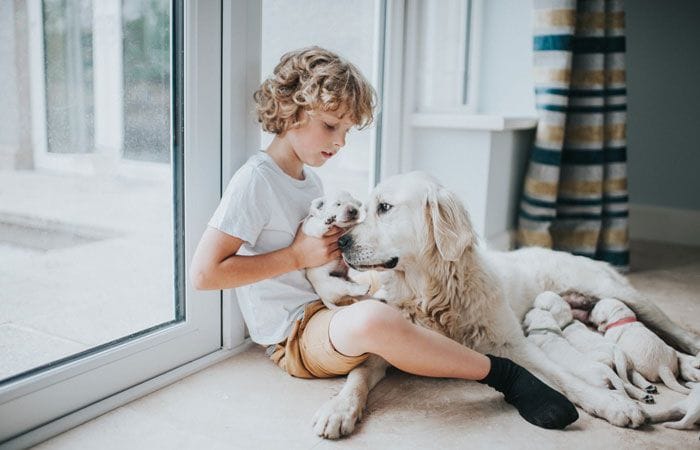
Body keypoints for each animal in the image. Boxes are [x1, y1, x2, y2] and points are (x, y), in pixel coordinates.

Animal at [312, 171, 700, 438]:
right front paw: (338, 408)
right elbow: (358, 375)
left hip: (626, 296)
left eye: (385, 208)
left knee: (677, 334)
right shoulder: (385, 341)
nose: (341, 243)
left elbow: (564, 378)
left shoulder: (514, 345)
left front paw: (611, 404)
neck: (433, 294)